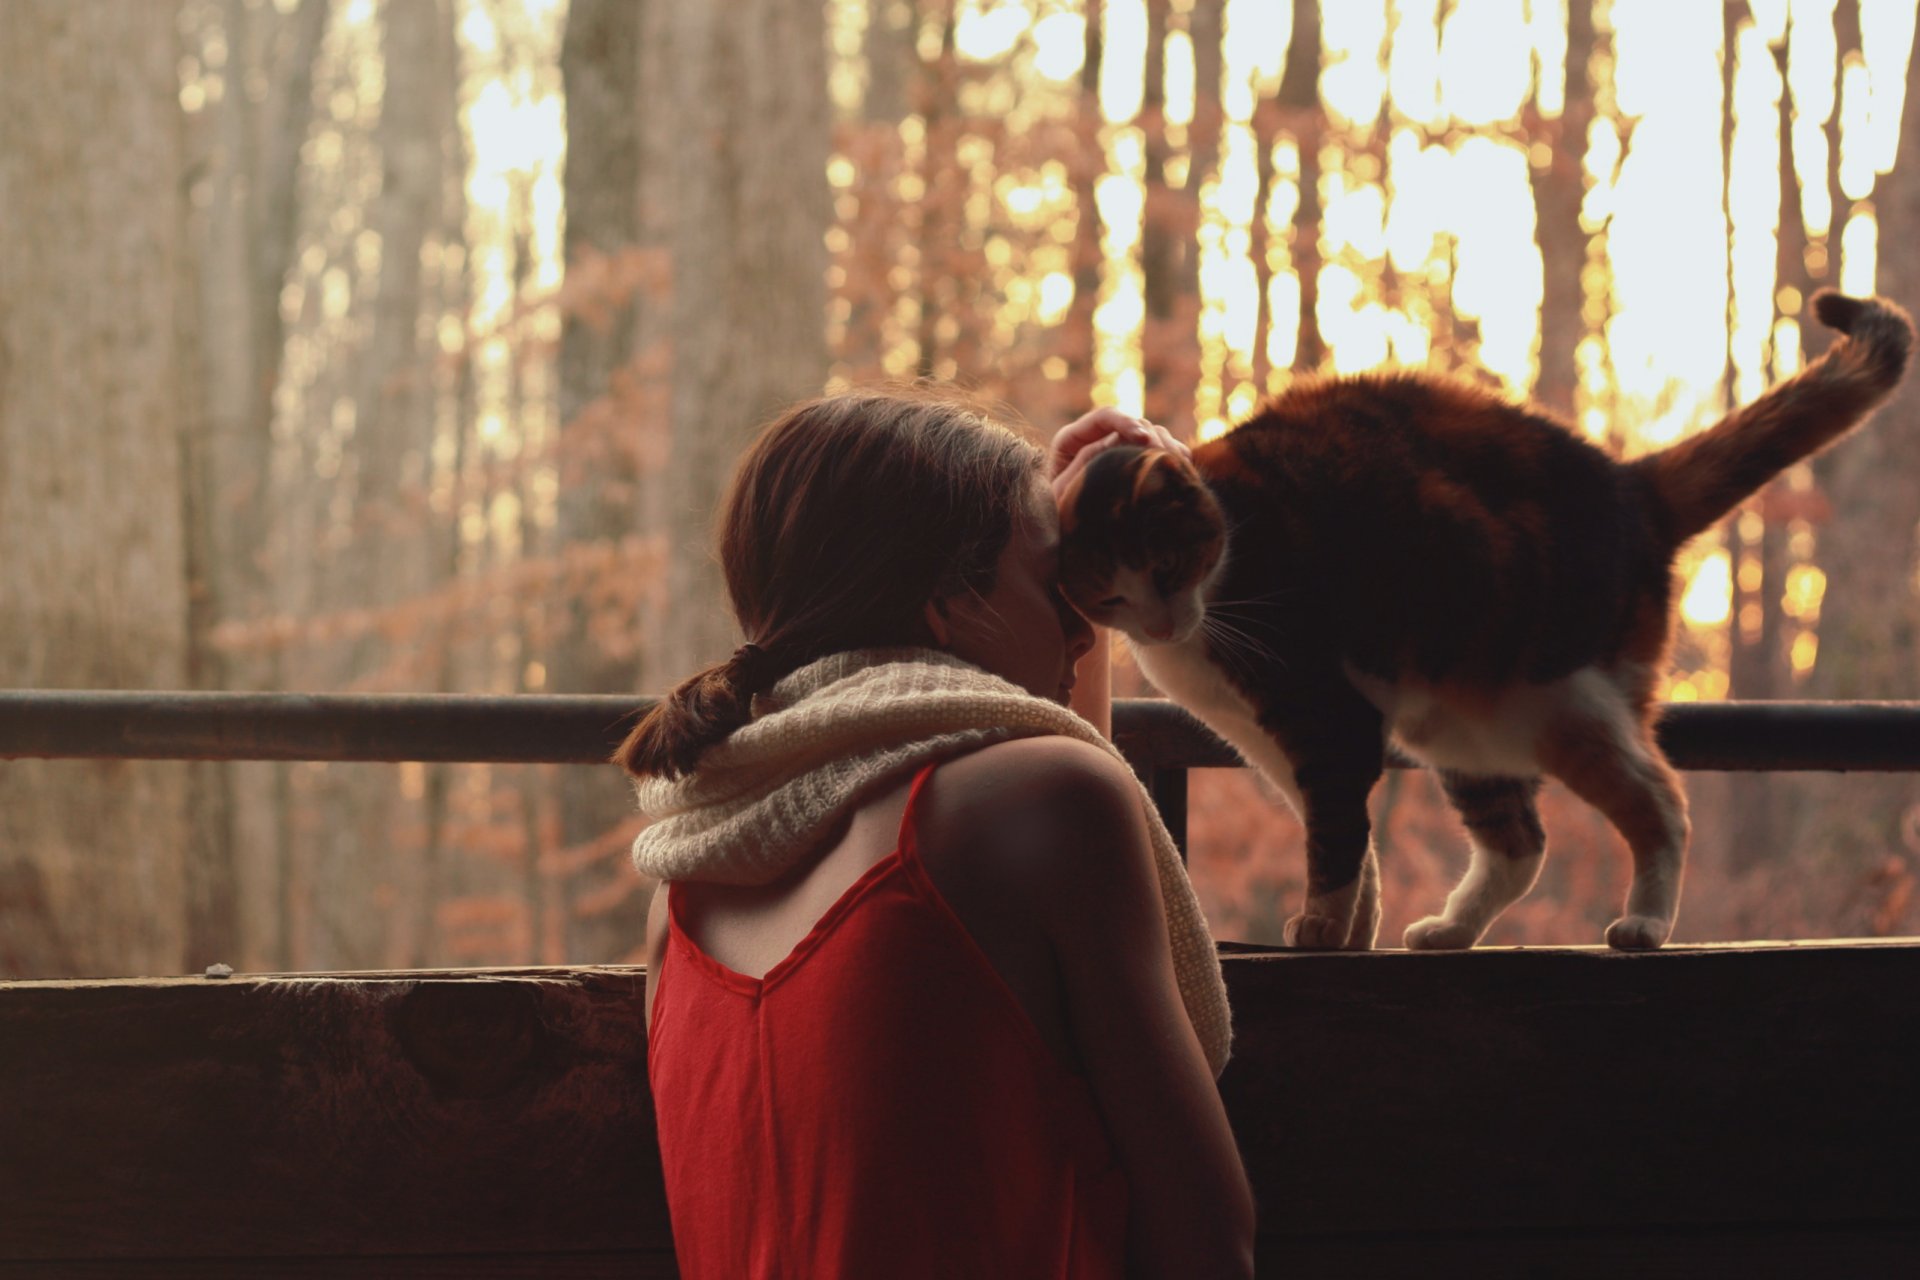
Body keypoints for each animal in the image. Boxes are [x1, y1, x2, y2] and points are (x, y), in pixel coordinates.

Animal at [1059, 289, 1912, 951]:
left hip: (1555, 698)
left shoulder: (1324, 716)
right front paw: (1353, 930)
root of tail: (1631, 486)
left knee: (1662, 800)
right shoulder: (1270, 738)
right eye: (1112, 599)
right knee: (1520, 844)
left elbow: (1335, 837)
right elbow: (1348, 839)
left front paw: (1325, 927)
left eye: (1166, 567)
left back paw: (1644, 923)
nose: (1162, 626)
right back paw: (1451, 929)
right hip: (1459, 722)